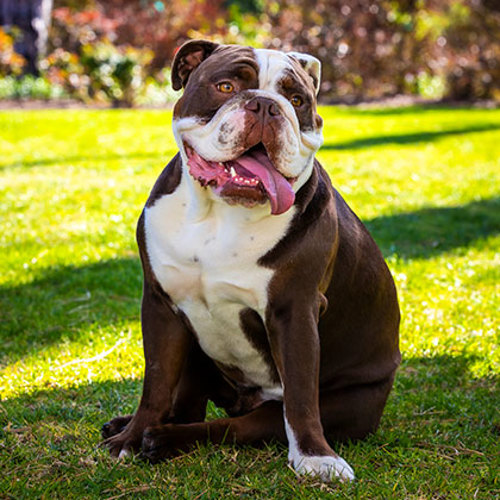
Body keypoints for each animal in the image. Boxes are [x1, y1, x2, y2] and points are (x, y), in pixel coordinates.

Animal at [102, 41, 402, 482]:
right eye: (226, 86)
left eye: (297, 101)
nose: (265, 105)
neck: (220, 215)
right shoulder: (160, 305)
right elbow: (155, 382)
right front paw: (130, 438)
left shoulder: (294, 312)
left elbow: (300, 397)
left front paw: (316, 457)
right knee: (186, 405)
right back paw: (138, 430)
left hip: (346, 403)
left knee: (238, 424)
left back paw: (165, 440)